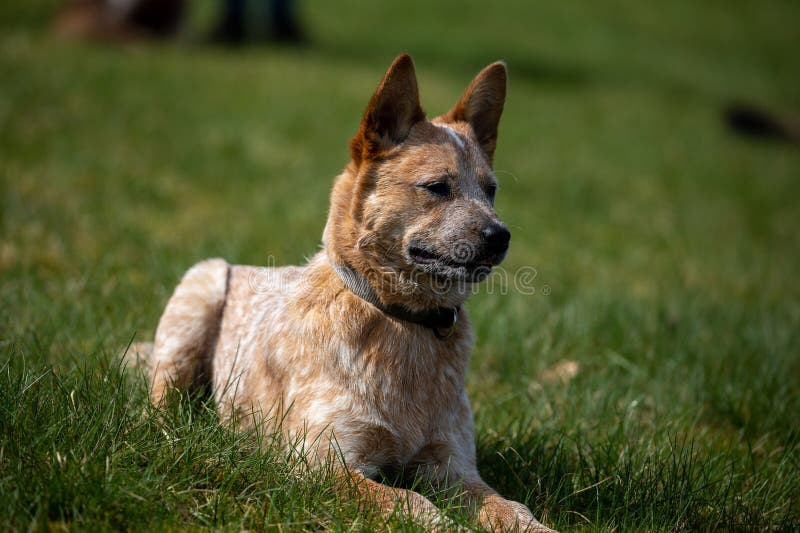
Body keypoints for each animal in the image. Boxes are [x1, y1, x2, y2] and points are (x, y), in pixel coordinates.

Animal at [134, 55, 552, 532]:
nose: (500, 236)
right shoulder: (321, 462)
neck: (400, 321)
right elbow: (412, 503)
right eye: (437, 187)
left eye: (491, 190)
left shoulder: (454, 468)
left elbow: (510, 506)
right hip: (200, 286)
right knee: (160, 406)